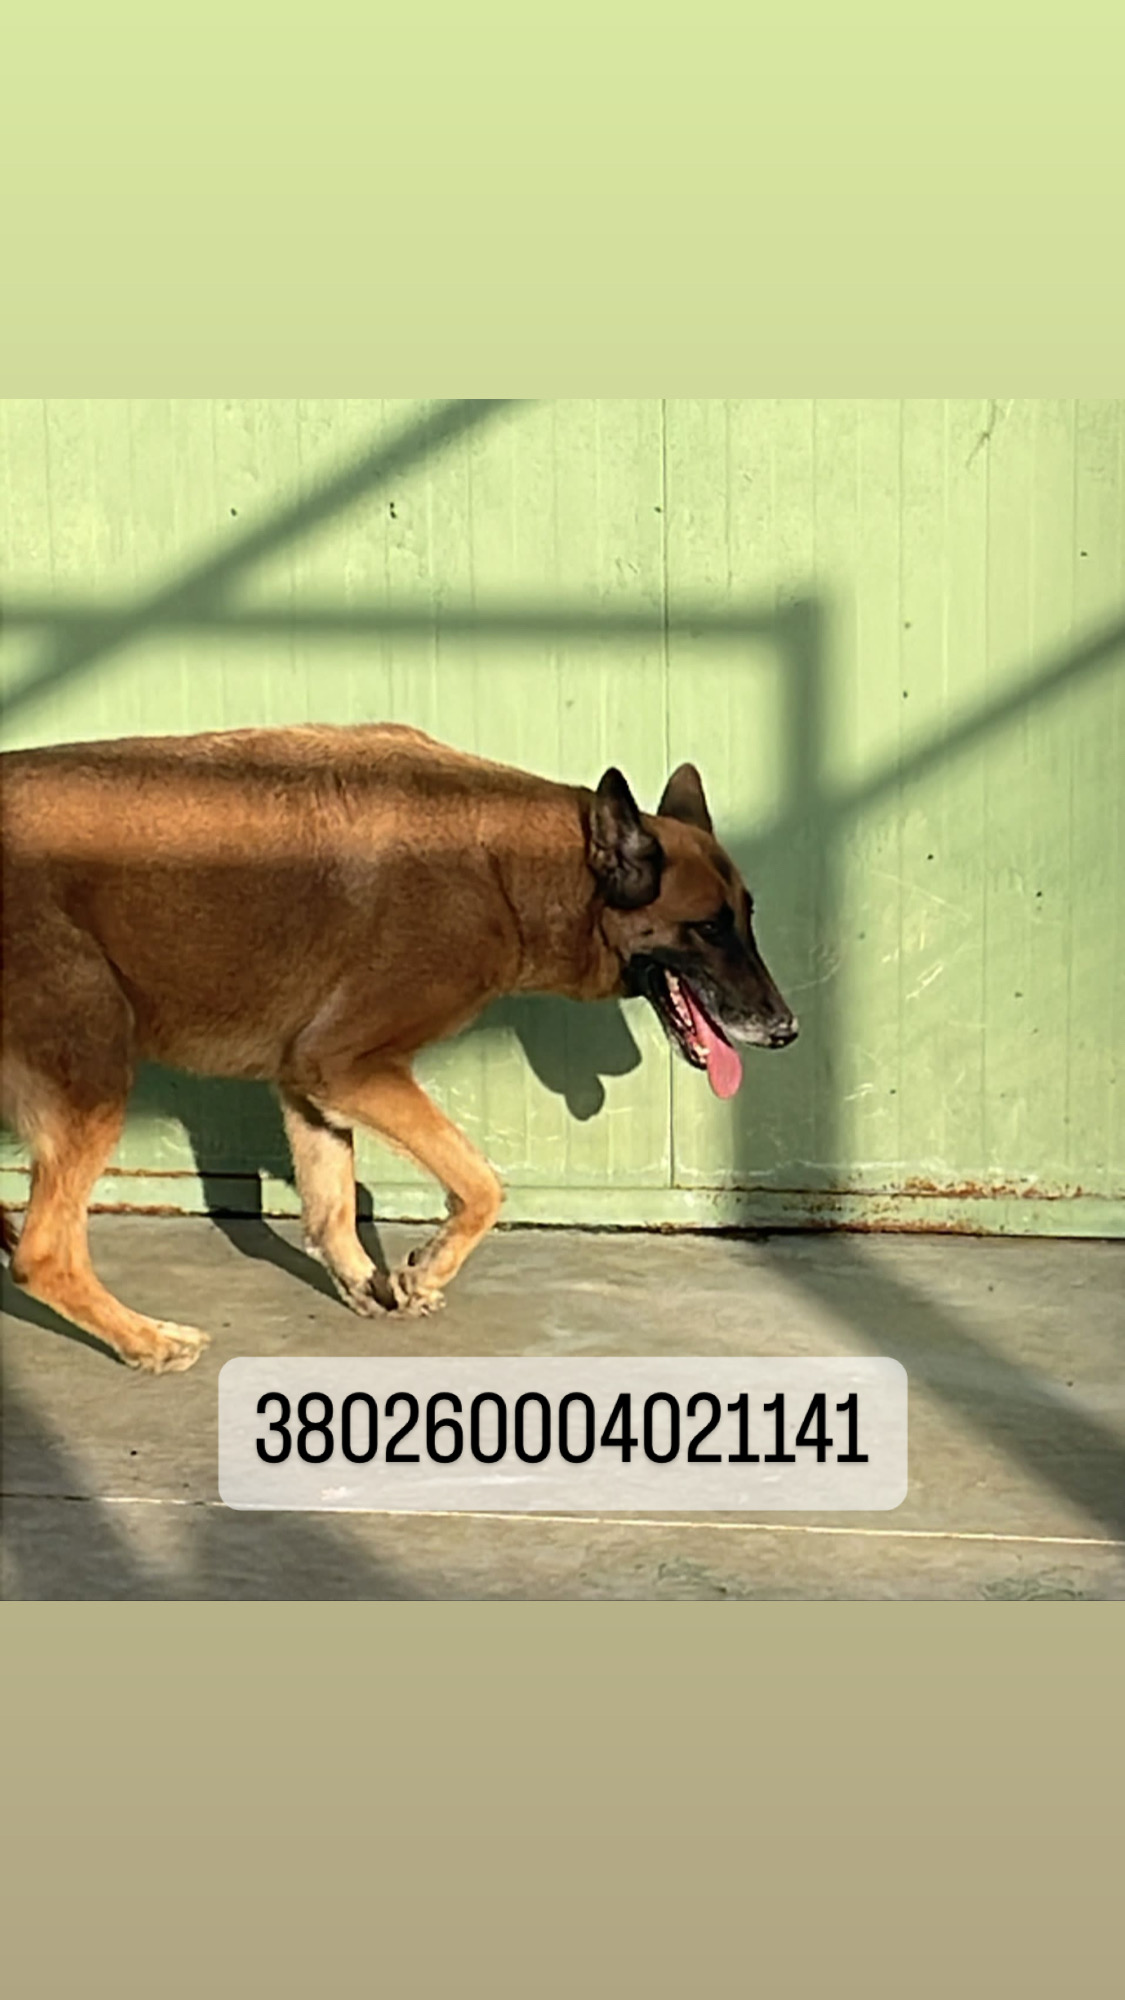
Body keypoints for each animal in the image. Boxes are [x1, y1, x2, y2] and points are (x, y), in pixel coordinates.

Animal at [0, 723, 797, 1372]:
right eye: (709, 928)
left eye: (748, 919)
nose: (785, 1030)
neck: (508, 866)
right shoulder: (352, 1067)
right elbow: (480, 1184)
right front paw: (427, 1268)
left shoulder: (312, 1084)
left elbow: (330, 1206)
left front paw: (368, 1283)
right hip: (97, 1069)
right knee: (44, 1254)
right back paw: (144, 1339)